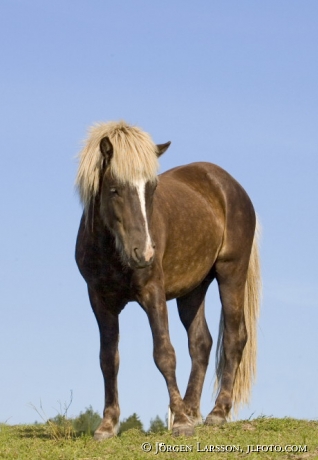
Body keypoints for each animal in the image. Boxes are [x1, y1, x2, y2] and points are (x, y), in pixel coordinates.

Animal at [75, 120, 260, 440]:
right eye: (114, 190)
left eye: (152, 189)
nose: (144, 252)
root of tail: (229, 184)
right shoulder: (100, 301)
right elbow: (108, 359)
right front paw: (108, 424)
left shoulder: (153, 293)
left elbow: (164, 354)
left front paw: (182, 423)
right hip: (192, 290)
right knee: (201, 343)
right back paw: (191, 409)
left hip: (231, 273)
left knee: (235, 338)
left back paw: (217, 413)